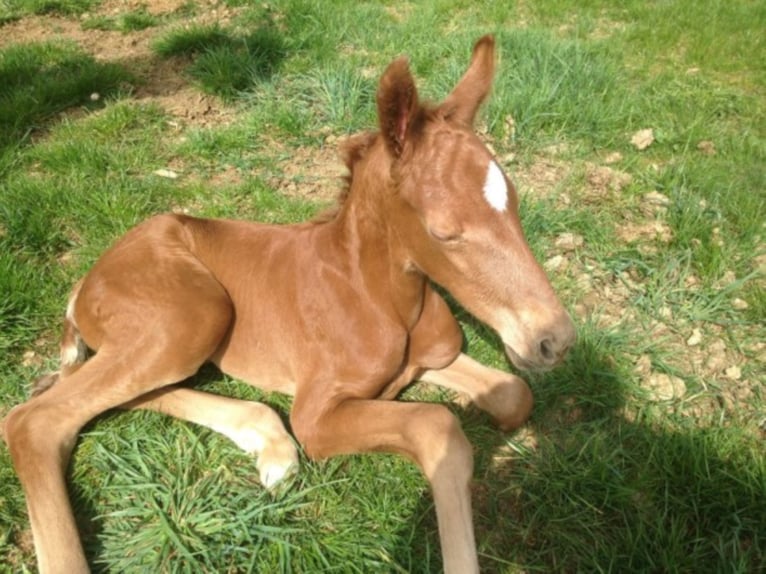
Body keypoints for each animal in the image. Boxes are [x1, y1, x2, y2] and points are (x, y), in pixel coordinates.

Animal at [2, 35, 575, 573]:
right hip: (192, 316)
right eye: (444, 232)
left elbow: (514, 394)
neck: (382, 299)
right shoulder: (318, 415)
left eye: (515, 203)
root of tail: (87, 278)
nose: (555, 340)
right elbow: (438, 427)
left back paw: (267, 440)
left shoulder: (433, 357)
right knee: (34, 421)